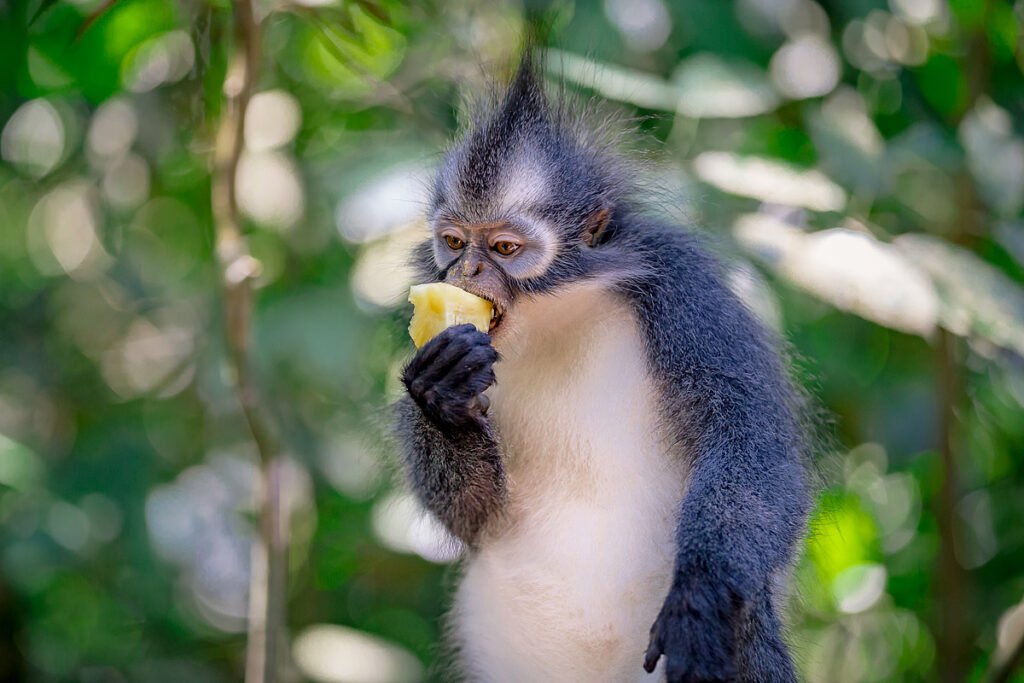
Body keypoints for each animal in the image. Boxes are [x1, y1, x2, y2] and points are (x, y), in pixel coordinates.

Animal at [392, 54, 811, 683]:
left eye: (505, 248)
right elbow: (476, 518)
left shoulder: (685, 288)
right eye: (455, 241)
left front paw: (701, 598)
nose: (466, 272)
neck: (558, 315)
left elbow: (750, 441)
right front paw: (441, 395)